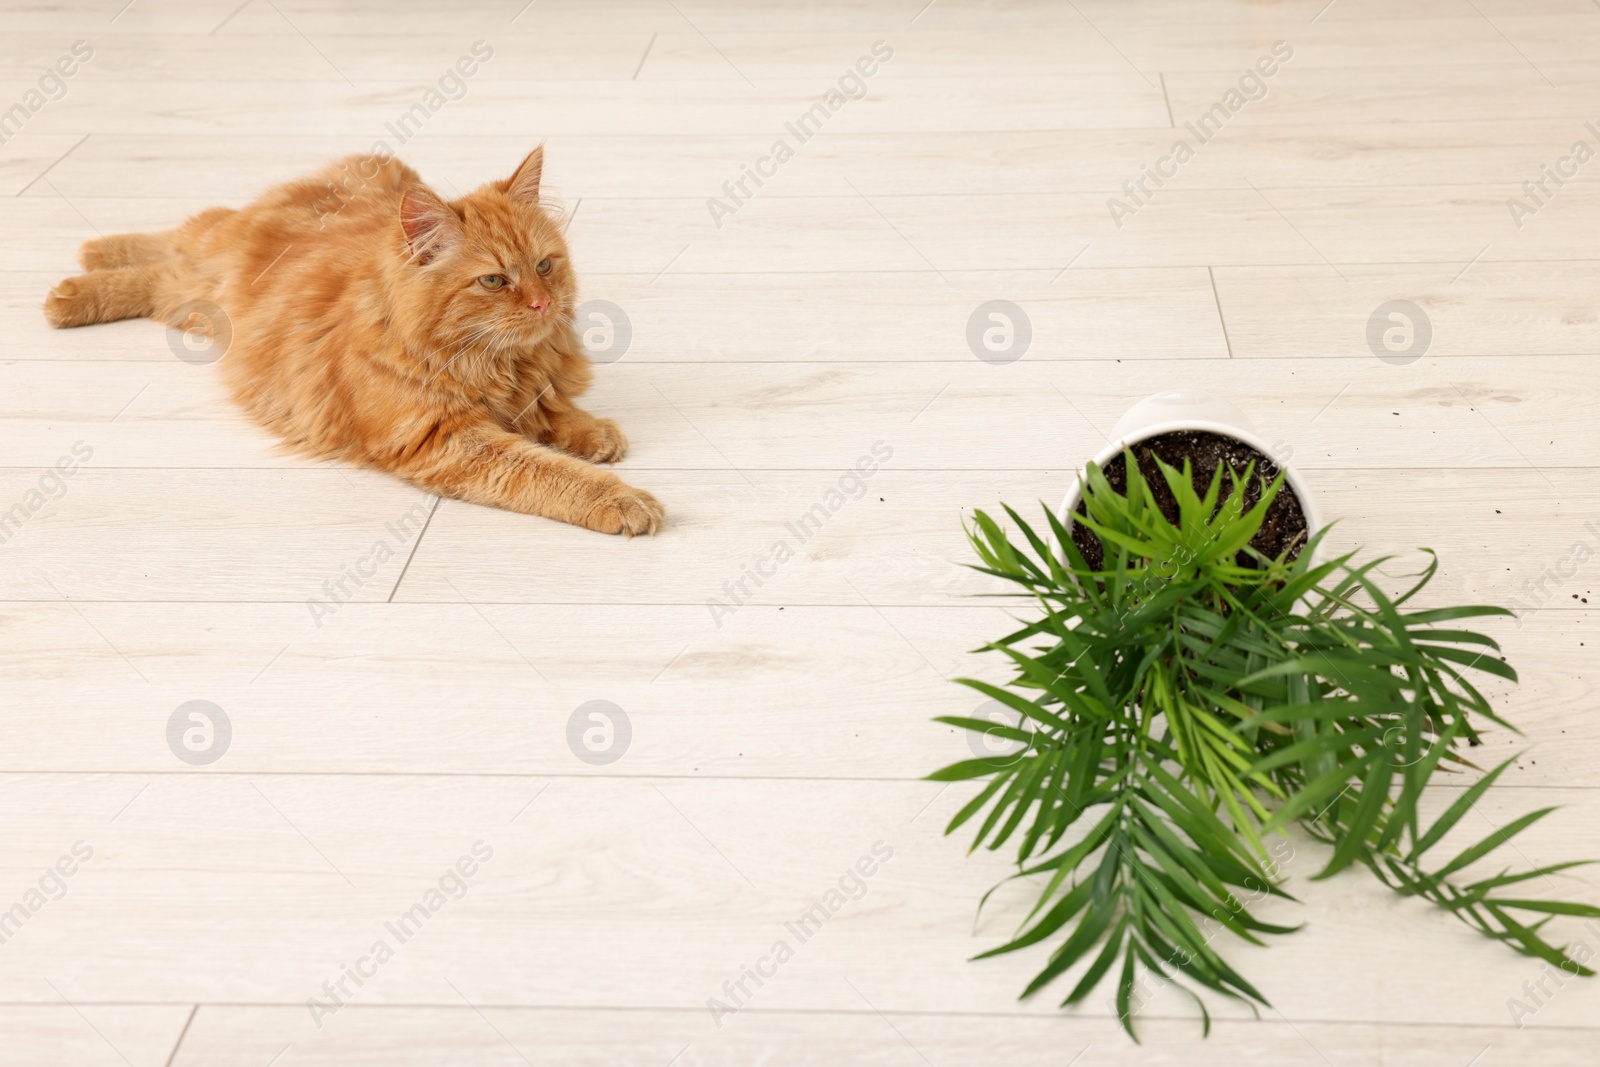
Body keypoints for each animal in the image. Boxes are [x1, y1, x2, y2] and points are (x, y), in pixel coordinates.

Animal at [42, 143, 662, 534]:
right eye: (493, 281)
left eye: (544, 266)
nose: (542, 304)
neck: (493, 364)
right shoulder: (447, 440)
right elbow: (548, 471)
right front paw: (623, 499)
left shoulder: (528, 390)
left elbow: (553, 408)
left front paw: (593, 433)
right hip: (209, 269)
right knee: (178, 238)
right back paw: (75, 282)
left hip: (196, 302)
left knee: (164, 268)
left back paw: (85, 268)